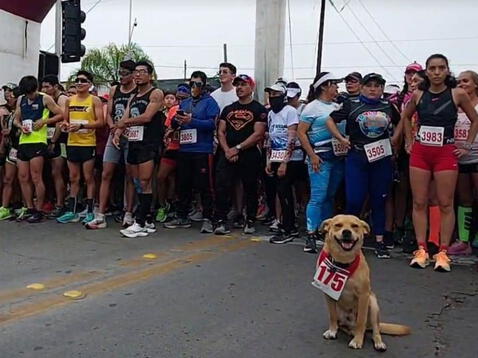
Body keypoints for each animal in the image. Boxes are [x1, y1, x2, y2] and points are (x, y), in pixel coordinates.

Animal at [314, 214, 410, 352]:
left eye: (355, 226)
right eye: (338, 225)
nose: (347, 232)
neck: (343, 262)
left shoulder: (364, 296)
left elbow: (361, 321)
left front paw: (358, 341)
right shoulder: (328, 294)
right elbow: (332, 316)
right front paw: (332, 331)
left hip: (373, 304)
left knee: (374, 330)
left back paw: (376, 341)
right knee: (344, 325)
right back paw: (347, 330)